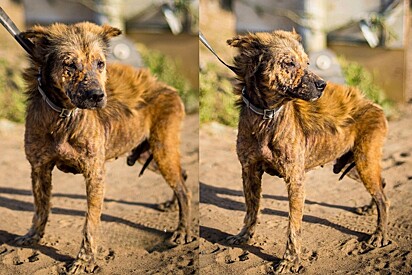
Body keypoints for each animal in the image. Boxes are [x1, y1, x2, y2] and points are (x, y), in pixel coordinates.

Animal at [13, 22, 192, 274]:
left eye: (100, 63)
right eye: (70, 64)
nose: (98, 96)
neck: (64, 117)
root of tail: (167, 86)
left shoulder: (94, 173)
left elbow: (90, 222)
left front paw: (84, 260)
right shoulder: (39, 168)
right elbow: (41, 208)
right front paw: (33, 236)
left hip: (162, 149)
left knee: (184, 189)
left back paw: (183, 230)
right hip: (147, 154)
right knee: (182, 176)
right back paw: (171, 205)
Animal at [225, 30, 390, 274]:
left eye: (307, 63)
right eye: (289, 63)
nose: (322, 84)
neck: (266, 116)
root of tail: (374, 104)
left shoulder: (295, 179)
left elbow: (293, 227)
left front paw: (289, 261)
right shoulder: (249, 171)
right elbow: (251, 209)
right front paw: (244, 236)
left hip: (364, 161)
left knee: (384, 199)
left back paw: (379, 235)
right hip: (353, 164)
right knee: (382, 186)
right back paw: (371, 209)